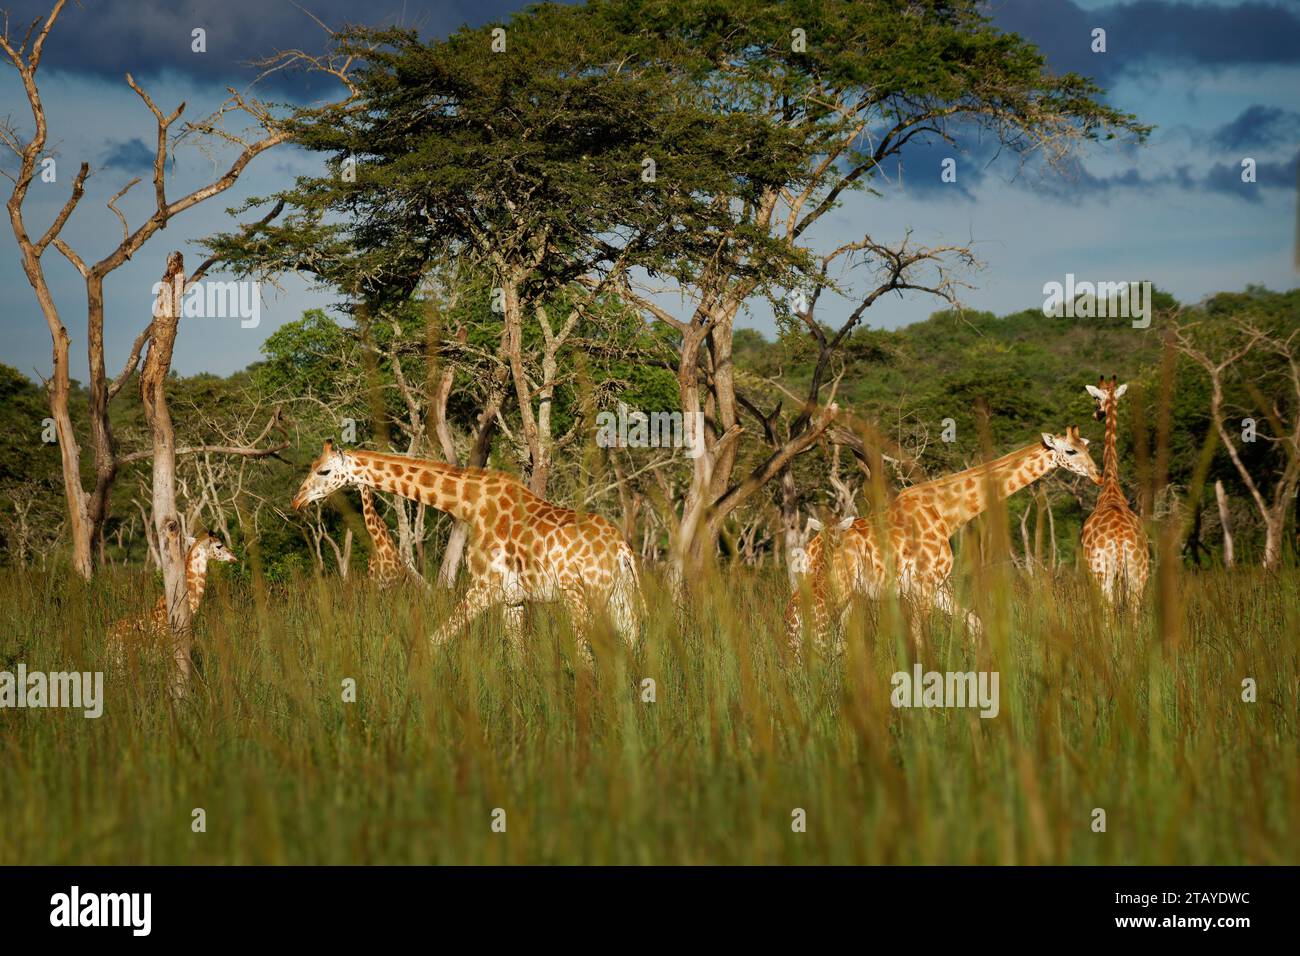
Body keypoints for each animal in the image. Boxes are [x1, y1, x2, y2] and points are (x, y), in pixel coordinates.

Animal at [290, 441, 643, 653]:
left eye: (323, 470)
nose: (297, 500)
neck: (471, 504)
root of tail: (621, 549)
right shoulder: (512, 599)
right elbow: (517, 656)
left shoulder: (483, 587)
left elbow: (436, 638)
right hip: (619, 596)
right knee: (635, 644)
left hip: (583, 595)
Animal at [786, 427, 1101, 653]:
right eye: (1071, 450)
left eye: (1088, 448)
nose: (1098, 475)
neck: (947, 512)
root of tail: (810, 549)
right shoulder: (922, 586)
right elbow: (920, 639)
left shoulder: (936, 586)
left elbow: (975, 625)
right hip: (836, 591)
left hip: (840, 594)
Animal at [1081, 375, 1149, 606]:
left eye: (1096, 398)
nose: (1095, 414)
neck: (1110, 486)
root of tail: (1120, 542)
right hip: (1138, 575)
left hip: (1102, 573)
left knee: (1108, 608)